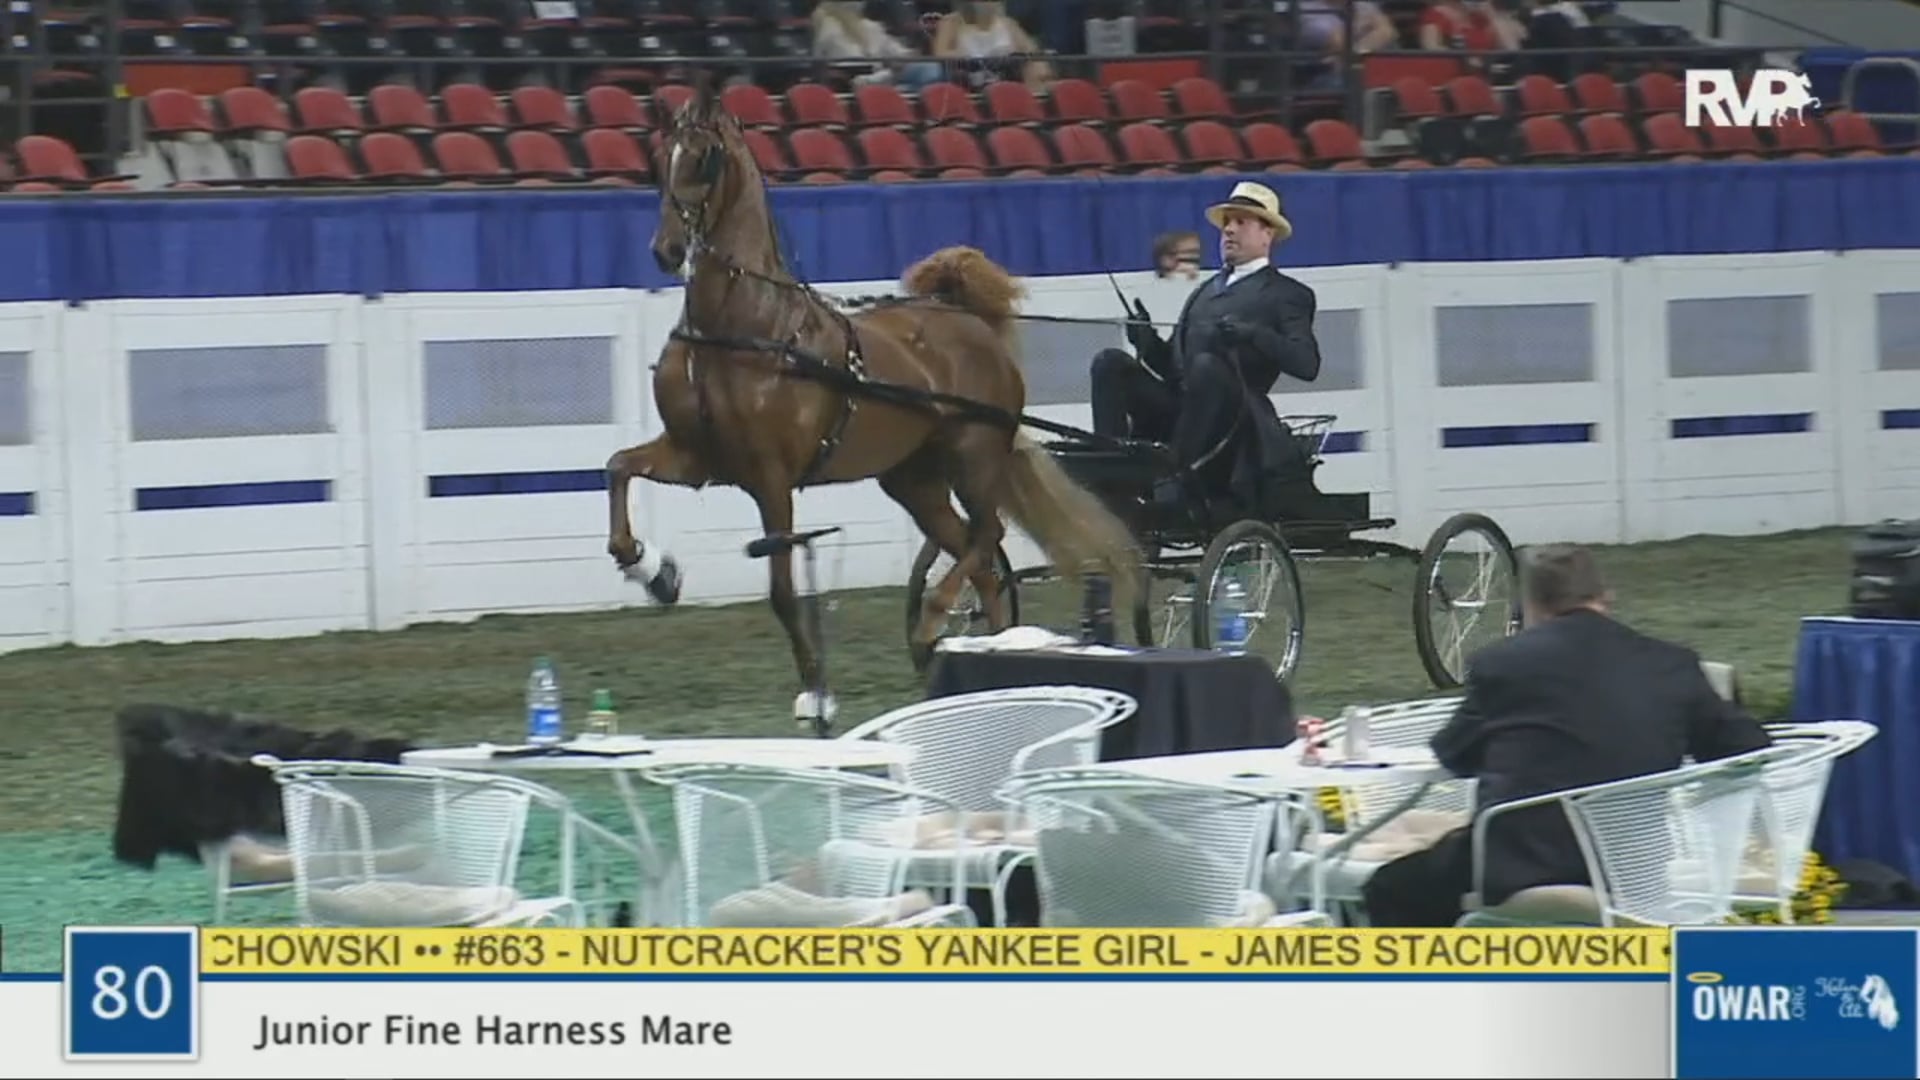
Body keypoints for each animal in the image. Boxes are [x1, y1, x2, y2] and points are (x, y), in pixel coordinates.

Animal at [603, 81, 1142, 728]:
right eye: (661, 157)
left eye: (705, 159)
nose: (666, 249)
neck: (745, 330)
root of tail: (970, 321)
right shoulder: (697, 457)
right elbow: (618, 470)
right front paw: (653, 571)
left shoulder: (770, 477)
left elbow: (783, 593)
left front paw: (816, 694)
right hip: (914, 479)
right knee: (981, 560)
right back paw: (984, 656)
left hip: (974, 456)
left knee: (986, 535)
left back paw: (935, 620)